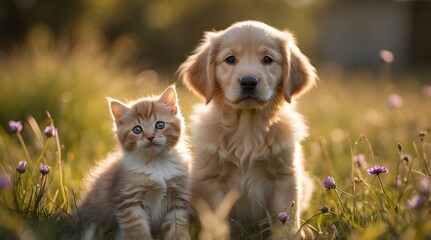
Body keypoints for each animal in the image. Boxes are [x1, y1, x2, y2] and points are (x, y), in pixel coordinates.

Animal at [73, 86, 192, 240]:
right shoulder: (129, 202)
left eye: (160, 125)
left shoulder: (178, 200)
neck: (157, 163)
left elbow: (176, 229)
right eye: (137, 129)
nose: (150, 137)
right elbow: (139, 232)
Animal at [179, 20, 318, 238]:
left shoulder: (284, 177)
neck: (248, 130)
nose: (249, 82)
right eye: (230, 59)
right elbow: (216, 220)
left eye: (268, 59)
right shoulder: (211, 180)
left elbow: (287, 218)